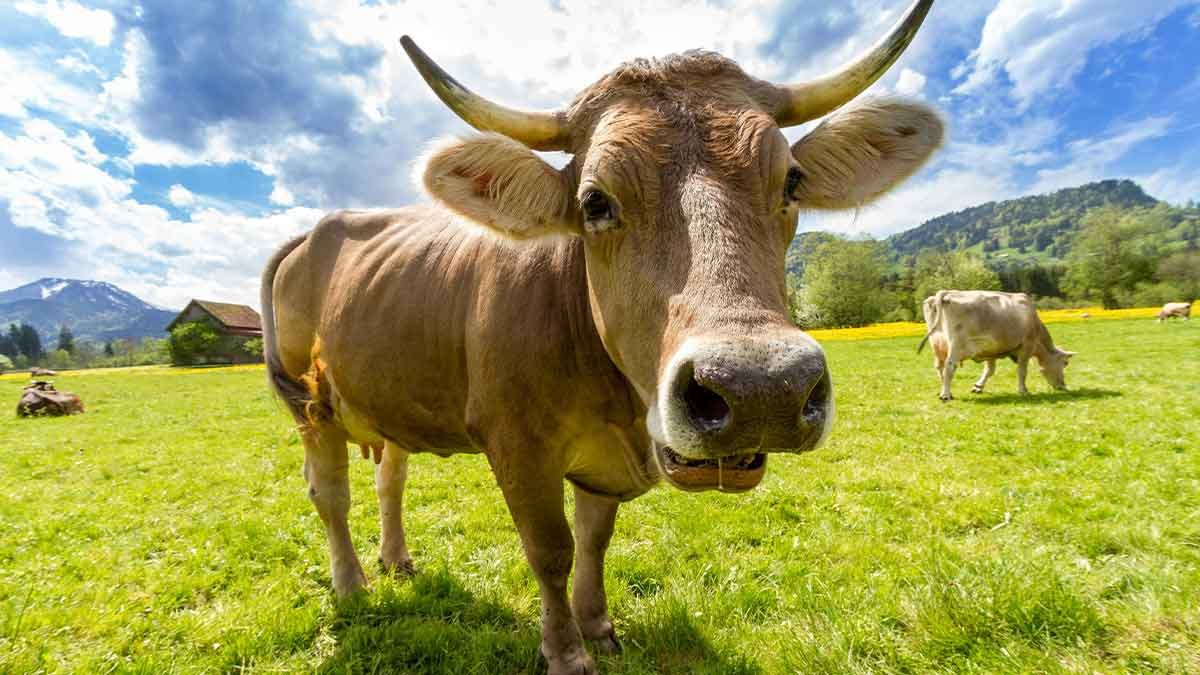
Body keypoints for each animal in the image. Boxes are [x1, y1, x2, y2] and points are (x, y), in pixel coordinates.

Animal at [262, 2, 942, 672]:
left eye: (792, 183)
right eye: (594, 201)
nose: (761, 391)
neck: (615, 400)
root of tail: (318, 229)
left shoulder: (603, 460)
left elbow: (594, 539)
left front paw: (598, 626)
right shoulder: (517, 446)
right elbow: (551, 550)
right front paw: (565, 651)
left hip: (384, 395)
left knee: (390, 476)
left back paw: (396, 559)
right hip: (311, 407)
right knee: (329, 494)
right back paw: (351, 585)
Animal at [918, 290, 1076, 401]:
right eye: (1065, 363)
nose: (1063, 386)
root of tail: (947, 293)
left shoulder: (990, 351)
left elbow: (989, 370)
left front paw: (978, 387)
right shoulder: (1026, 347)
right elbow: (1022, 371)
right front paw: (1023, 390)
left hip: (937, 344)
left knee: (940, 367)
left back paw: (946, 391)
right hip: (956, 346)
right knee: (949, 367)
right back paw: (945, 395)